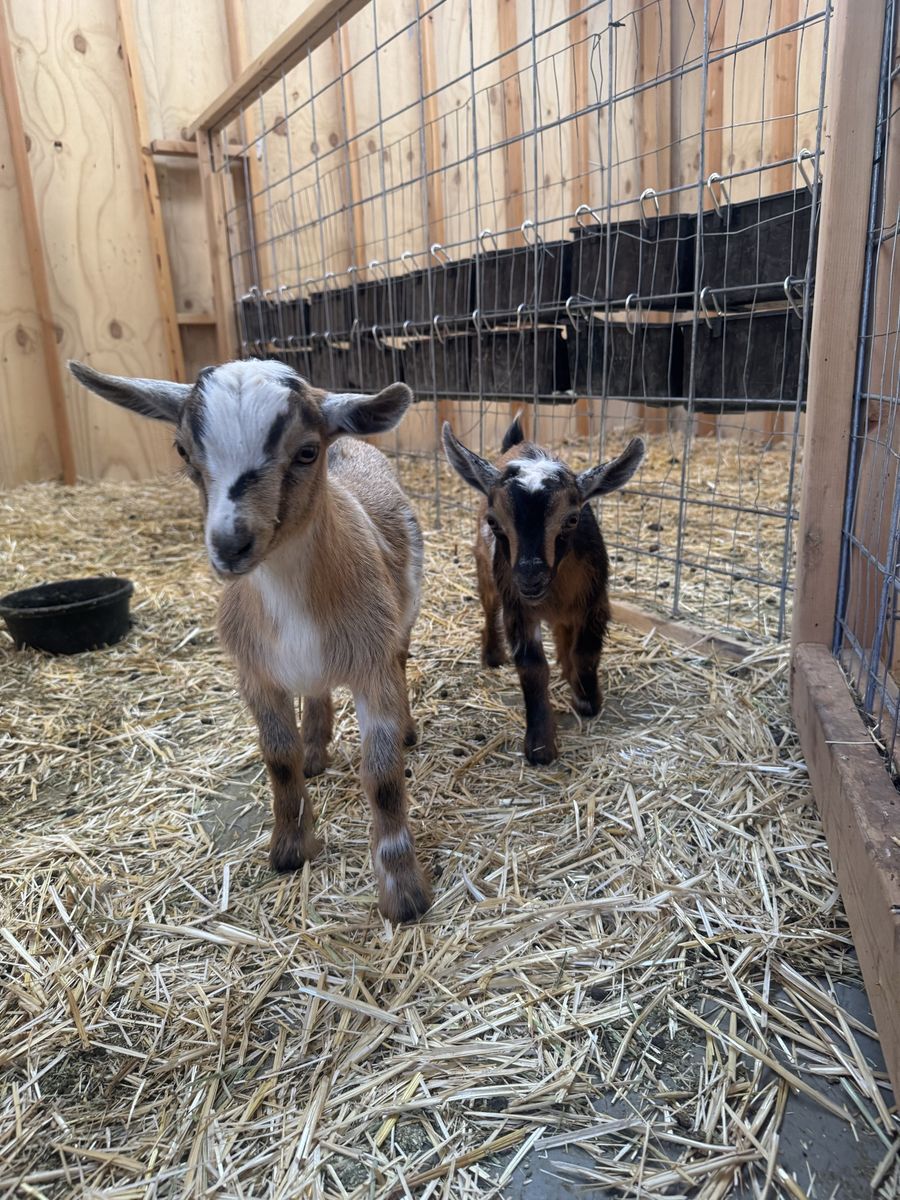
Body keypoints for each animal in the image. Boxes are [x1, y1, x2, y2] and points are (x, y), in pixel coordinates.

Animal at [69, 358, 431, 923]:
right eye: (182, 450)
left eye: (306, 451)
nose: (231, 544)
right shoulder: (257, 675)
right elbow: (279, 760)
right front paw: (290, 848)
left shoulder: (371, 666)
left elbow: (384, 776)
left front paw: (404, 891)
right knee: (316, 694)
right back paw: (315, 752)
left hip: (401, 621)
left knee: (400, 661)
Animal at [442, 415, 644, 765]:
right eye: (494, 522)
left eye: (572, 519)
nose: (530, 579)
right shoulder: (518, 610)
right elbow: (533, 668)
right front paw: (540, 746)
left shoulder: (595, 602)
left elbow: (585, 651)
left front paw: (587, 698)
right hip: (486, 570)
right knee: (488, 607)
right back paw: (492, 654)